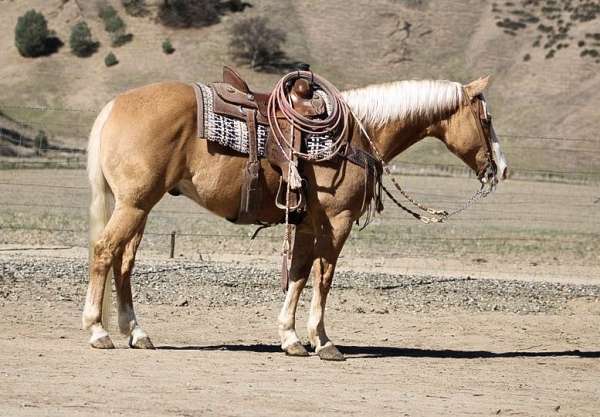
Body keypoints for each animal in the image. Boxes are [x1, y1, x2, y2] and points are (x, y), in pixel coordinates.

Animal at [83, 74, 506, 358]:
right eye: (486, 120)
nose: (501, 169)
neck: (357, 132)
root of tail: (114, 105)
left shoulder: (306, 222)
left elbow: (299, 274)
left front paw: (290, 338)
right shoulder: (337, 220)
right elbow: (324, 277)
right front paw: (324, 341)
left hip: (138, 206)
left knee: (124, 261)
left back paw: (137, 333)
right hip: (135, 204)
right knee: (104, 251)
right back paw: (98, 331)